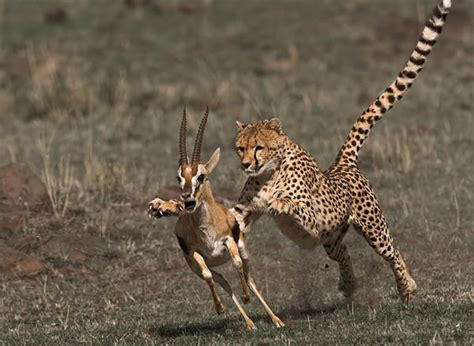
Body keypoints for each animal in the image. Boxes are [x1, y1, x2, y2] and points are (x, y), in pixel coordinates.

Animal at [232, 0, 452, 302]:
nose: (245, 165)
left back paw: (407, 287)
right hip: (331, 238)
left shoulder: (312, 218)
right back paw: (349, 284)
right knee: (344, 253)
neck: (268, 173)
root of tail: (342, 164)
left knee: (392, 251)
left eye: (259, 148)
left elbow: (293, 206)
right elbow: (232, 217)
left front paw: (279, 203)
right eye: (240, 148)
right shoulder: (245, 210)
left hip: (371, 228)